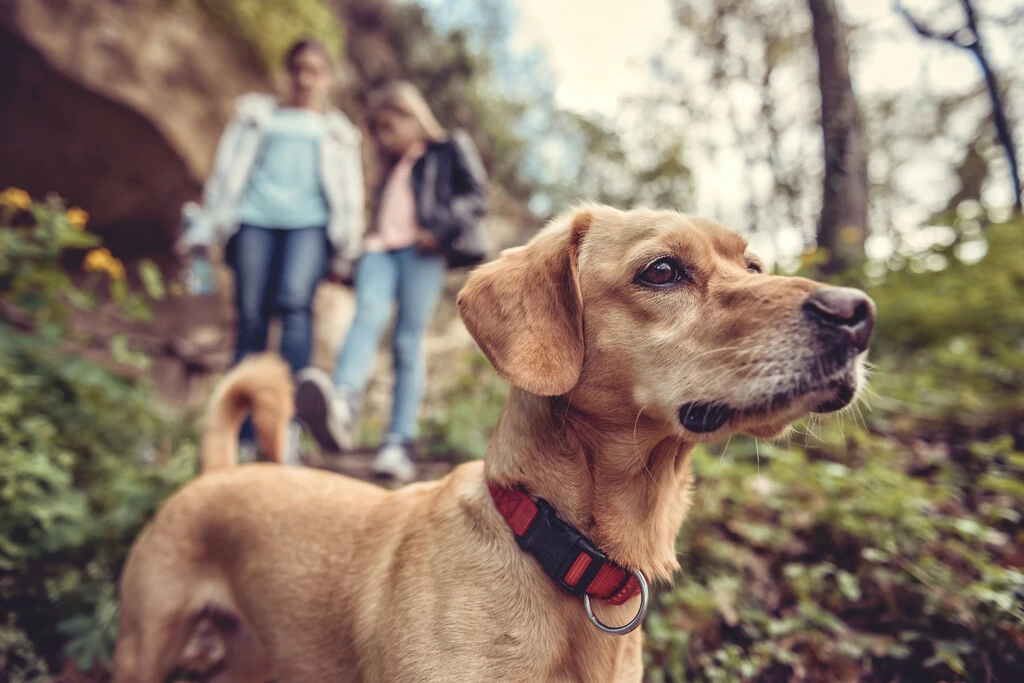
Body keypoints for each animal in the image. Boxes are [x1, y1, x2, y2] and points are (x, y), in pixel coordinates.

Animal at [116, 205, 876, 679]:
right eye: (662, 270)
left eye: (754, 266)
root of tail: (217, 472)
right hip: (144, 645)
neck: (560, 547)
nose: (857, 312)